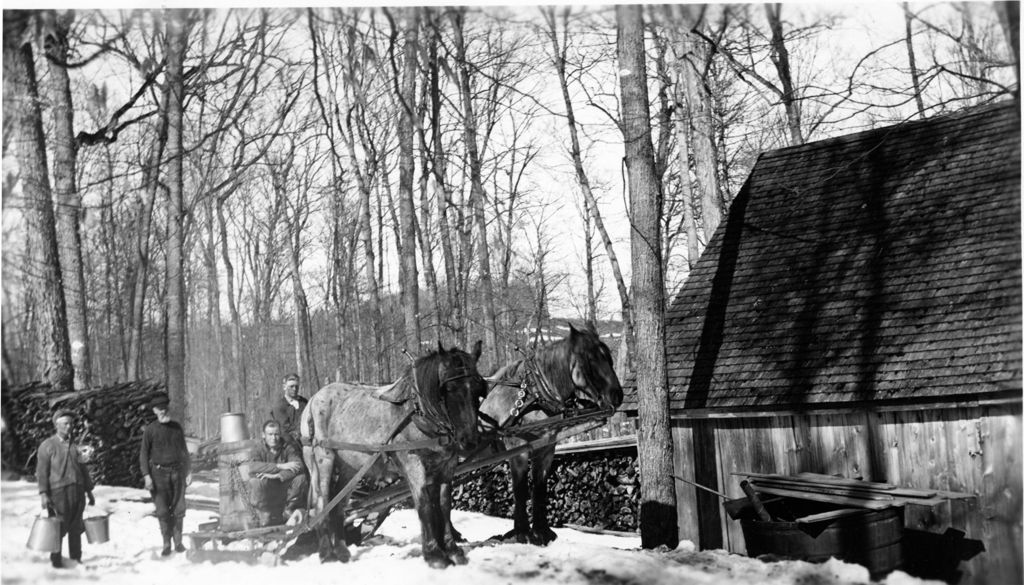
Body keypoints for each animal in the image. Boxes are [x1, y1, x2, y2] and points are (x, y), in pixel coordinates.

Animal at [301, 344, 485, 569]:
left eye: (478, 389)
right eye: (449, 389)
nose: (469, 441)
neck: (419, 413)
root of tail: (313, 399)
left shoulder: (446, 466)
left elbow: (443, 505)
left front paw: (452, 550)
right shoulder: (413, 463)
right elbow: (424, 504)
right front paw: (434, 554)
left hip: (350, 468)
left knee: (339, 504)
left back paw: (342, 551)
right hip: (321, 459)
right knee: (322, 502)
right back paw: (327, 553)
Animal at [475, 325, 618, 545]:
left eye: (609, 357)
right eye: (591, 359)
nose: (618, 395)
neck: (533, 396)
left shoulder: (546, 449)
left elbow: (539, 488)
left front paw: (542, 532)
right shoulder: (517, 450)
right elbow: (520, 490)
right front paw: (522, 533)